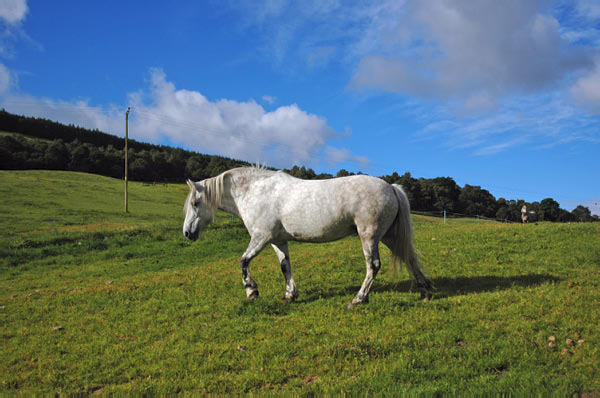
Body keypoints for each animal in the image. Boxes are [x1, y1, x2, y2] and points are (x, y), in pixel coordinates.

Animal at [183, 166, 432, 308]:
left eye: (195, 203)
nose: (187, 233)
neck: (256, 192)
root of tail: (391, 187)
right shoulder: (278, 241)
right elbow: (285, 267)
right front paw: (290, 295)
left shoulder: (261, 238)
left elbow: (243, 261)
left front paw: (251, 291)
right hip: (388, 236)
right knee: (409, 257)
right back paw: (425, 291)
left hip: (369, 236)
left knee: (373, 265)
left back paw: (359, 299)